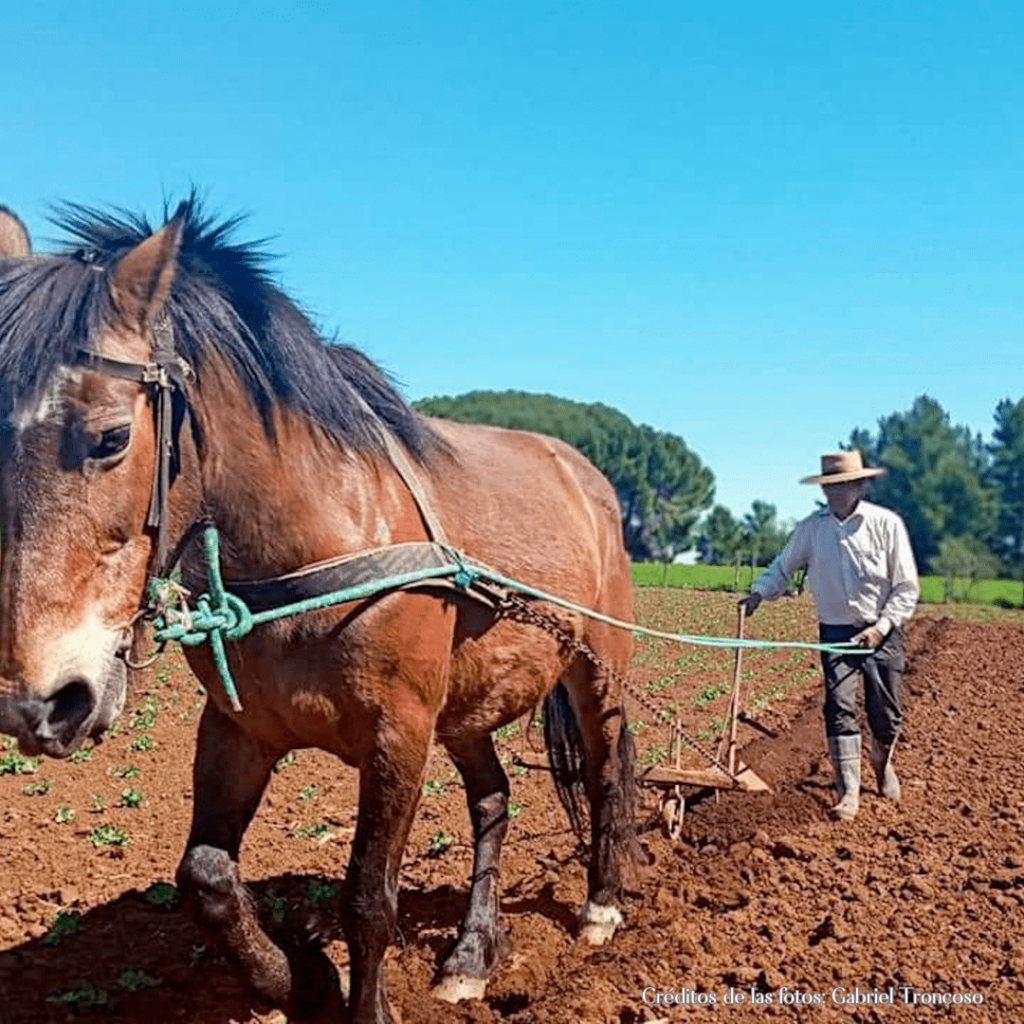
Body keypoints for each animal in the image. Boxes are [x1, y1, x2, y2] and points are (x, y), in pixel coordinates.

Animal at [0, 195, 634, 1019]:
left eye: (110, 437)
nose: (38, 705)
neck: (318, 546)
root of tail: (584, 474)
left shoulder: (398, 735)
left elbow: (367, 898)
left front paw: (358, 997)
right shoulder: (238, 728)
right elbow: (204, 876)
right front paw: (292, 975)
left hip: (595, 672)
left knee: (604, 773)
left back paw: (601, 909)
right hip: (466, 706)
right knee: (492, 802)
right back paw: (470, 956)